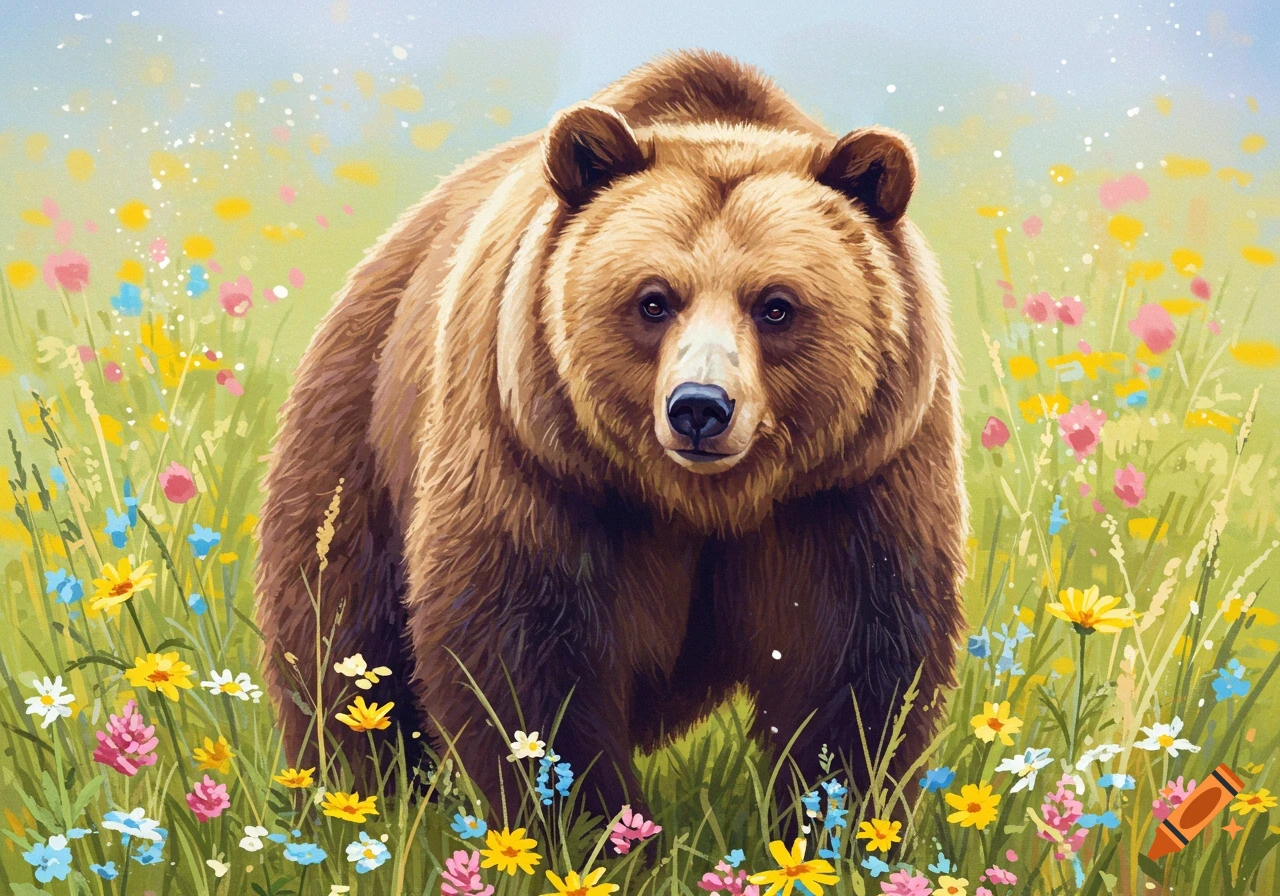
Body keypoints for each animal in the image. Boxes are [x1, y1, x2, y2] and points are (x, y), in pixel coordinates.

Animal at [255, 49, 967, 820]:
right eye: (653, 300)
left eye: (776, 305)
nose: (700, 407)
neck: (704, 502)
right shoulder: (541, 462)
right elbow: (525, 662)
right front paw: (592, 822)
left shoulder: (857, 481)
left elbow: (858, 670)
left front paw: (830, 813)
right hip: (359, 433)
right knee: (341, 644)